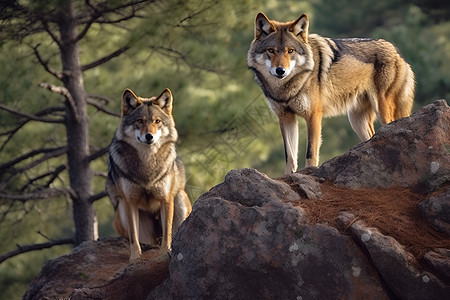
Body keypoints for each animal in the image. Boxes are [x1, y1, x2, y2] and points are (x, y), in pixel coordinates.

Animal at [107, 87, 192, 260]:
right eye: (139, 121)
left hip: (179, 197)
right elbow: (133, 236)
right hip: (122, 208)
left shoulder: (166, 199)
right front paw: (135, 258)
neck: (147, 163)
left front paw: (165, 252)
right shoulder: (129, 201)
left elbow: (167, 233)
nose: (149, 136)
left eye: (157, 121)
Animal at [248, 12, 414, 175]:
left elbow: (310, 152)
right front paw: (288, 176)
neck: (285, 88)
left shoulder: (313, 116)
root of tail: (396, 51)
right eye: (271, 50)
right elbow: (290, 156)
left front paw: (309, 172)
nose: (280, 70)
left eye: (290, 51)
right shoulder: (286, 118)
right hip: (357, 120)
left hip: (382, 111)